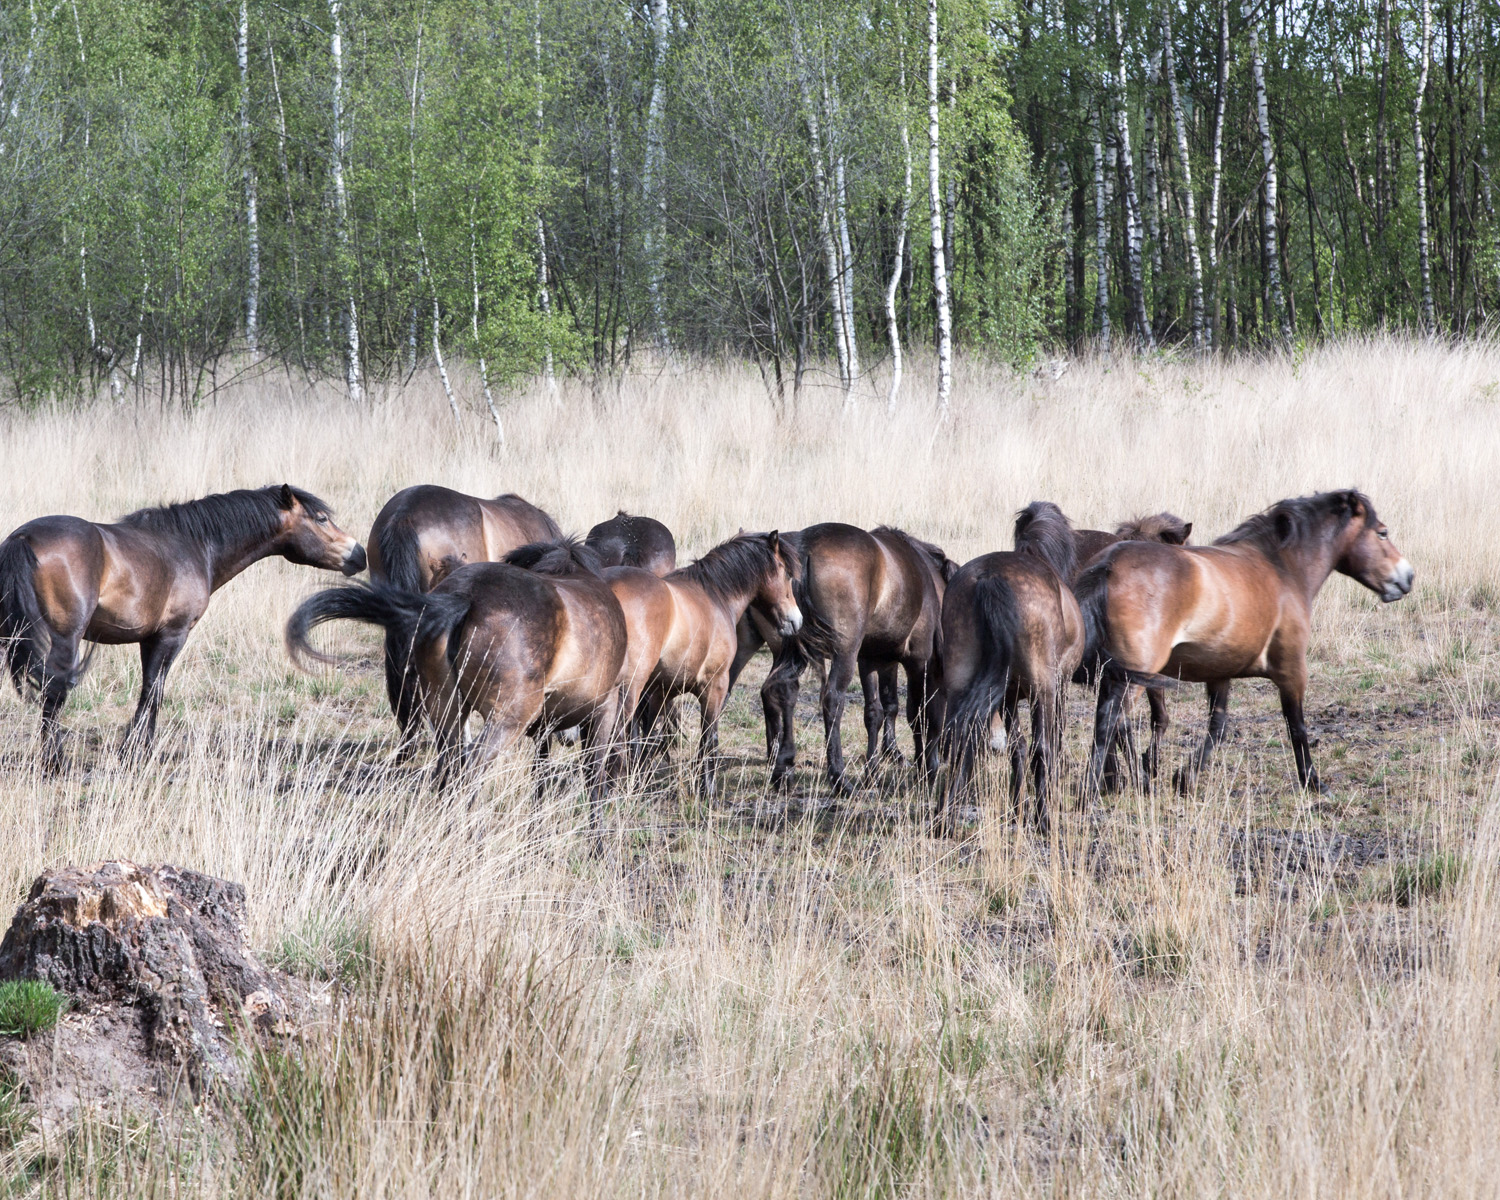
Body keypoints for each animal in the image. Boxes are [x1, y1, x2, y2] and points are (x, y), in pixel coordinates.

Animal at [0, 483, 363, 765]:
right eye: (321, 519)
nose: (358, 554)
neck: (192, 545)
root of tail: (24, 538)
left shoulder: (148, 639)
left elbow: (150, 691)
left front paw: (139, 750)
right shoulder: (172, 635)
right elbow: (153, 692)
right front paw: (135, 754)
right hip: (66, 638)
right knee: (53, 693)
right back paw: (55, 763)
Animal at [756, 528, 954, 798]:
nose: (945, 754)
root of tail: (805, 548)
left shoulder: (873, 661)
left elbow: (876, 712)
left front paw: (873, 771)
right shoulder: (918, 661)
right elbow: (919, 712)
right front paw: (926, 768)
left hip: (793, 650)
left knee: (781, 691)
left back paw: (782, 770)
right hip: (845, 652)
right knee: (832, 700)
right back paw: (839, 779)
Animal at [930, 498, 1086, 834]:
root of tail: (990, 579)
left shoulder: (1009, 698)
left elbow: (1017, 747)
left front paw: (1017, 808)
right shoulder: (1057, 689)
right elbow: (1048, 743)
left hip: (962, 684)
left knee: (961, 740)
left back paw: (945, 817)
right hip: (1043, 689)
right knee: (1042, 747)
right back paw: (1044, 819)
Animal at [1074, 486, 1410, 798]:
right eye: (1382, 533)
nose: (1407, 578)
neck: (1281, 568)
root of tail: (1109, 565)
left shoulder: (1219, 673)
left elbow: (1218, 727)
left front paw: (1185, 778)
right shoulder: (1291, 669)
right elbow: (1297, 727)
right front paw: (1314, 782)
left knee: (1111, 722)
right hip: (1135, 673)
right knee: (1113, 722)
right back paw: (1105, 788)